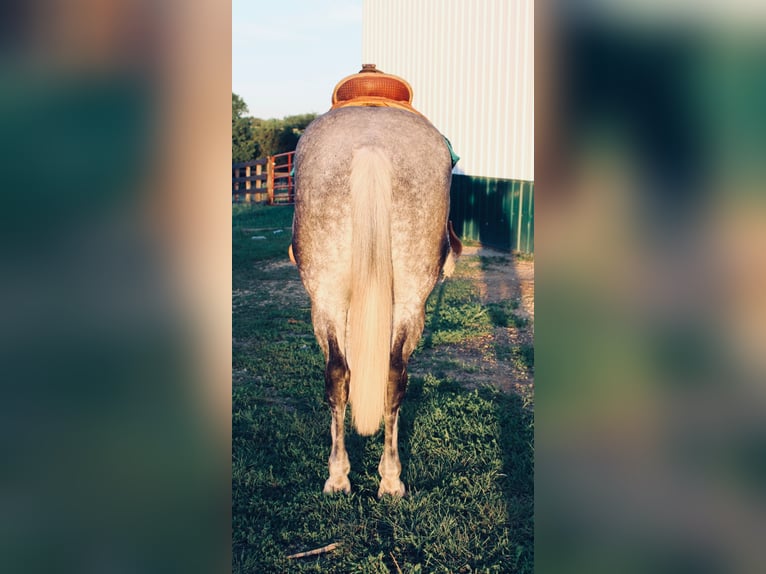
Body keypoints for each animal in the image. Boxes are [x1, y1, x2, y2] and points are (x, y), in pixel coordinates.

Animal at [292, 107, 460, 500]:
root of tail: (372, 145)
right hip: (408, 298)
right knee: (387, 375)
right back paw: (383, 480)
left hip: (328, 298)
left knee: (347, 374)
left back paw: (350, 477)